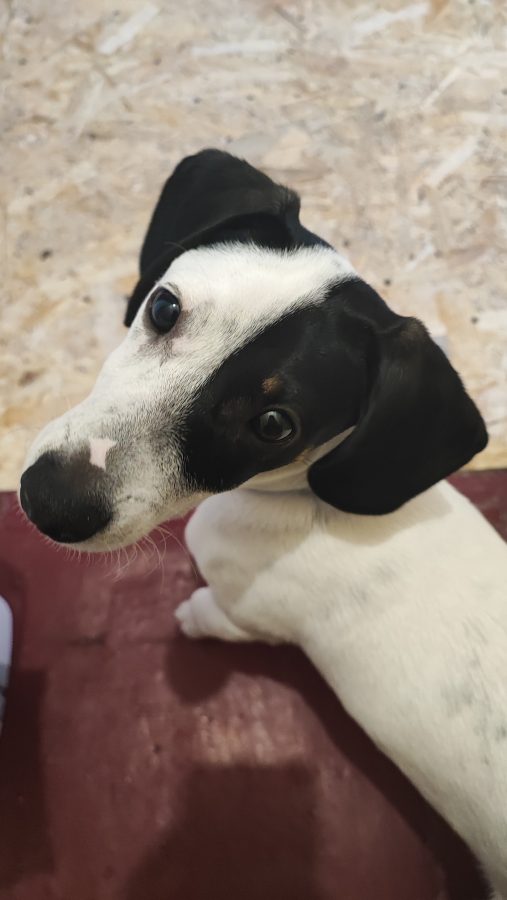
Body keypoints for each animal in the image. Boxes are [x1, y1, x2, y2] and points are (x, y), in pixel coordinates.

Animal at [19, 150, 507, 898]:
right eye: (164, 306)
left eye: (274, 424)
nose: (48, 502)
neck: (303, 500)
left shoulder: (253, 615)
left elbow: (216, 614)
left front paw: (191, 615)